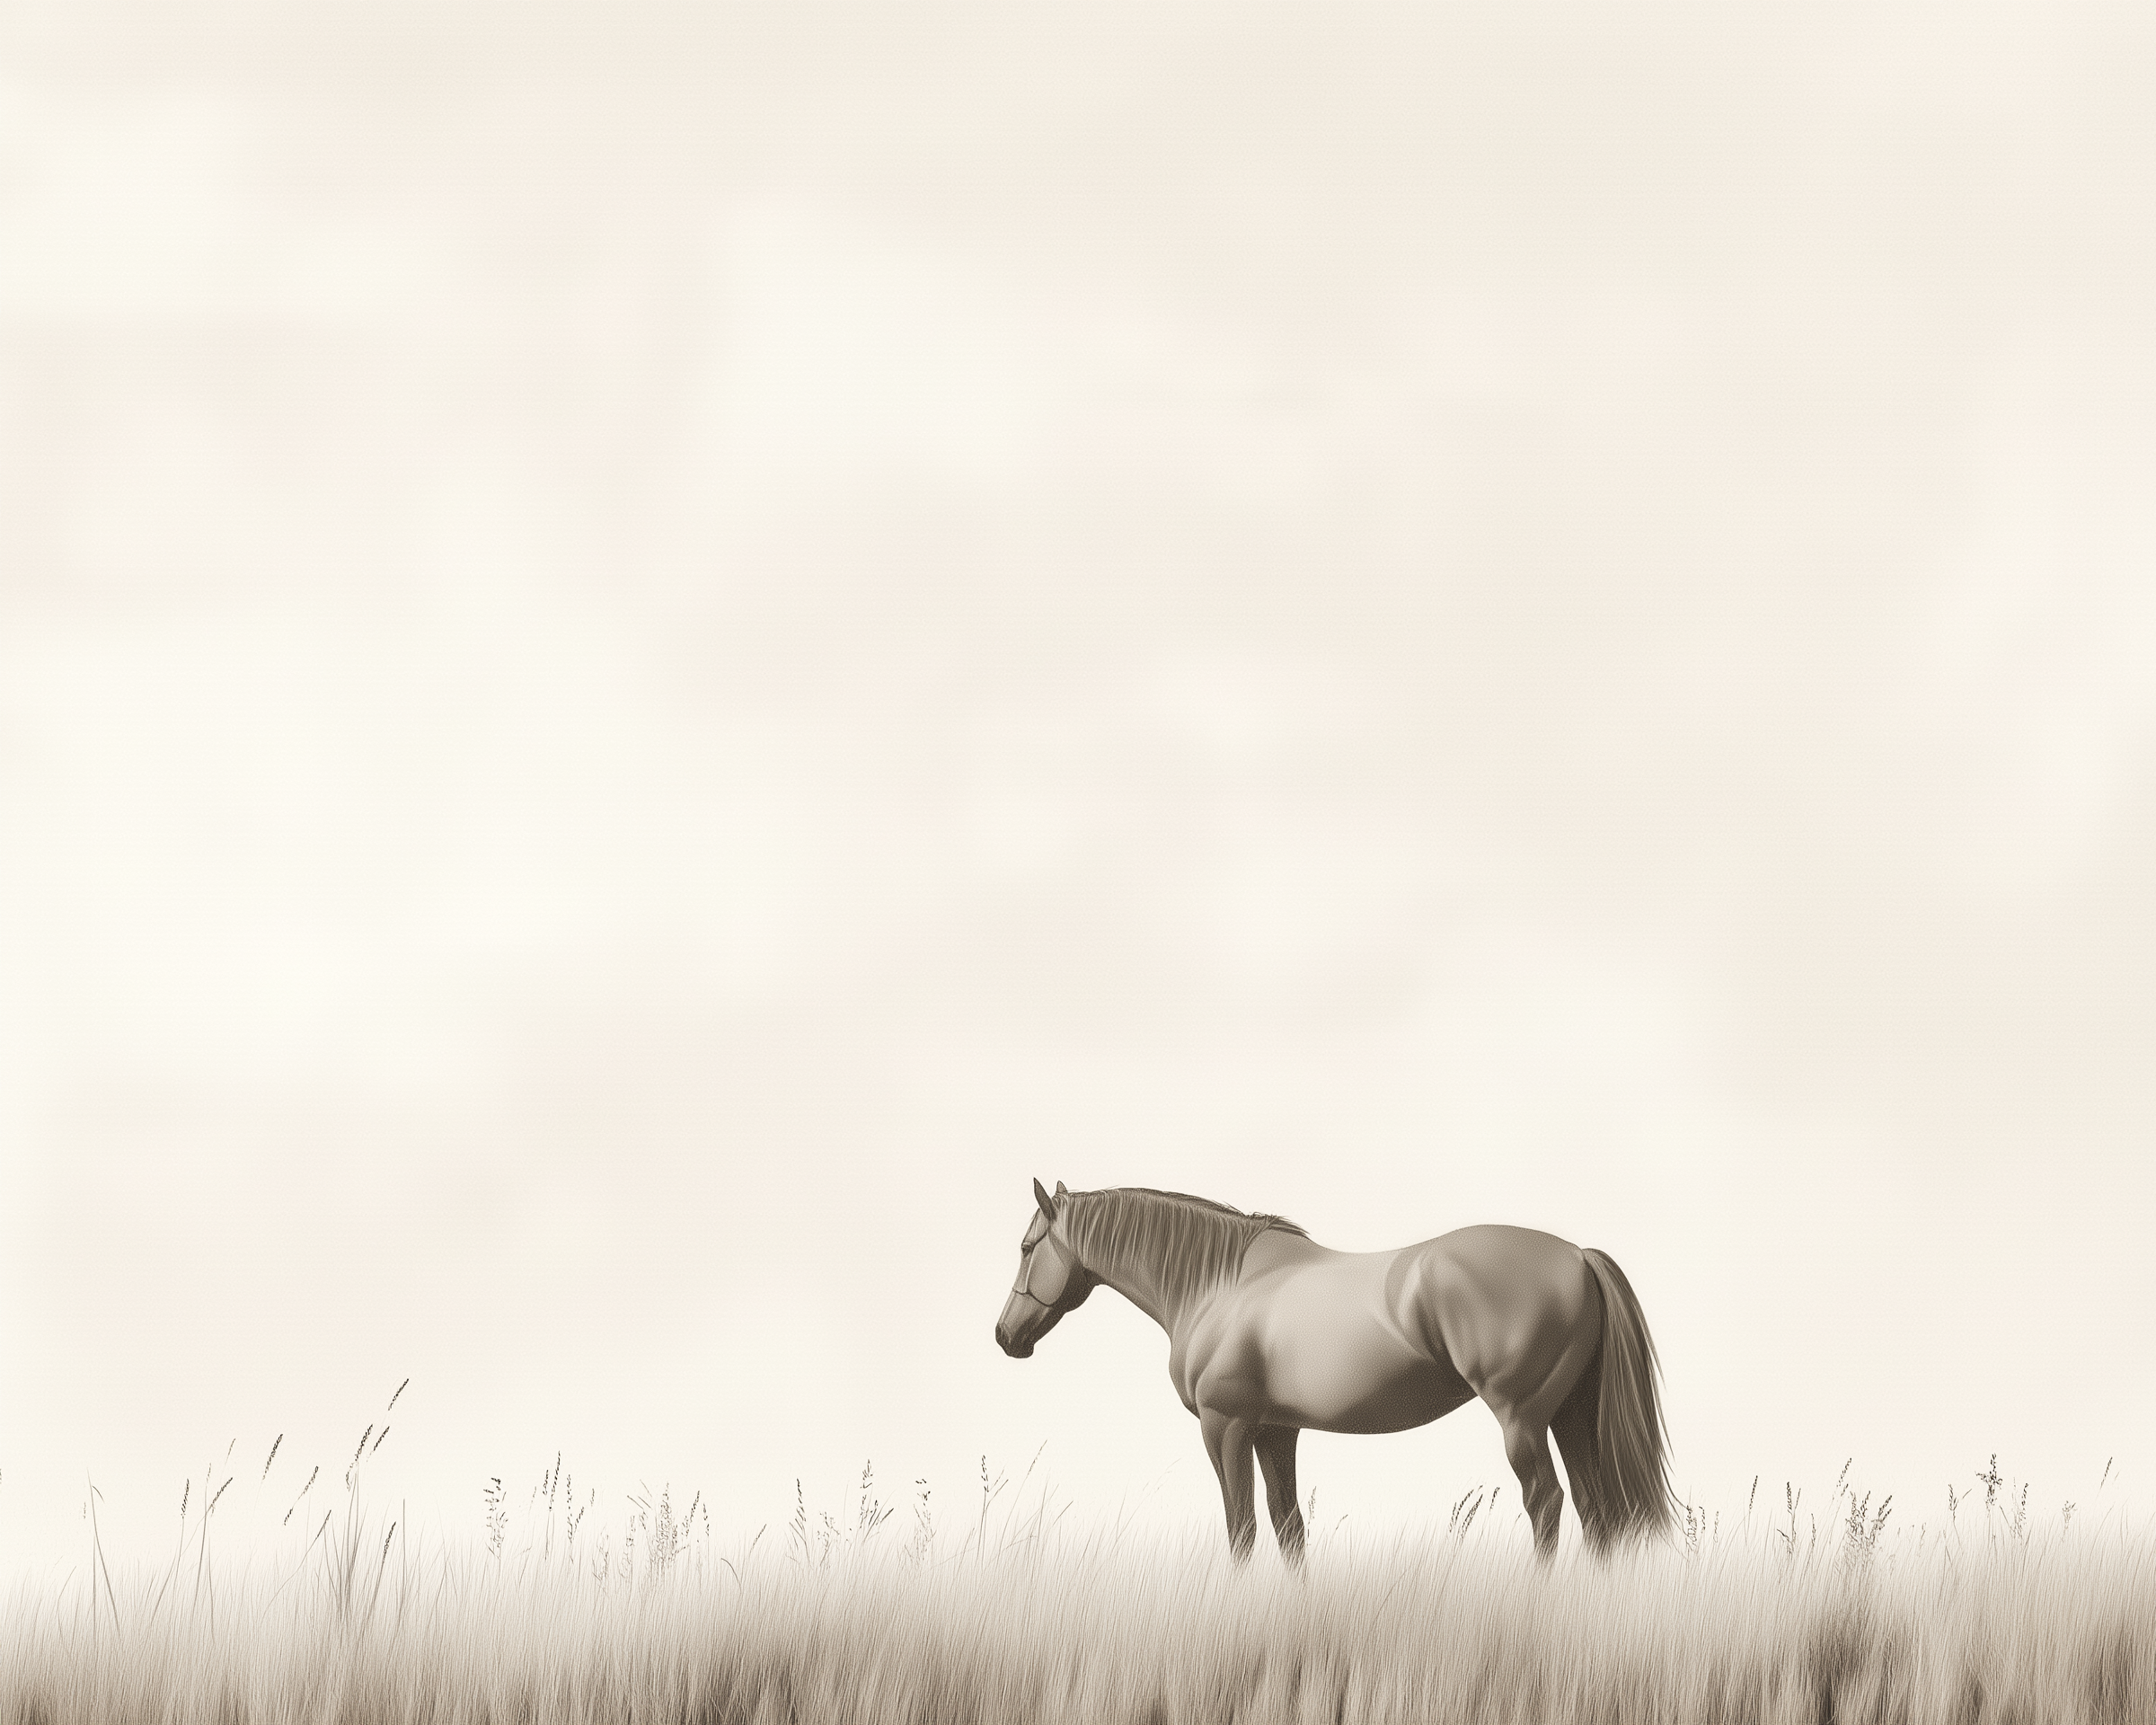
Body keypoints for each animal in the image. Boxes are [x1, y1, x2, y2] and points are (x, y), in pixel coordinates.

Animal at [993, 1180, 1673, 1563]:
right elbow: (1287, 1525)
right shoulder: (1274, 1431)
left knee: (1547, 1503)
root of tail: (1577, 1257)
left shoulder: (1224, 1427)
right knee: (1593, 1508)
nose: (1005, 1337)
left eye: (1027, 1247)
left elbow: (1241, 1528)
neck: (1220, 1286)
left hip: (1521, 1419)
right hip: (1569, 1414)